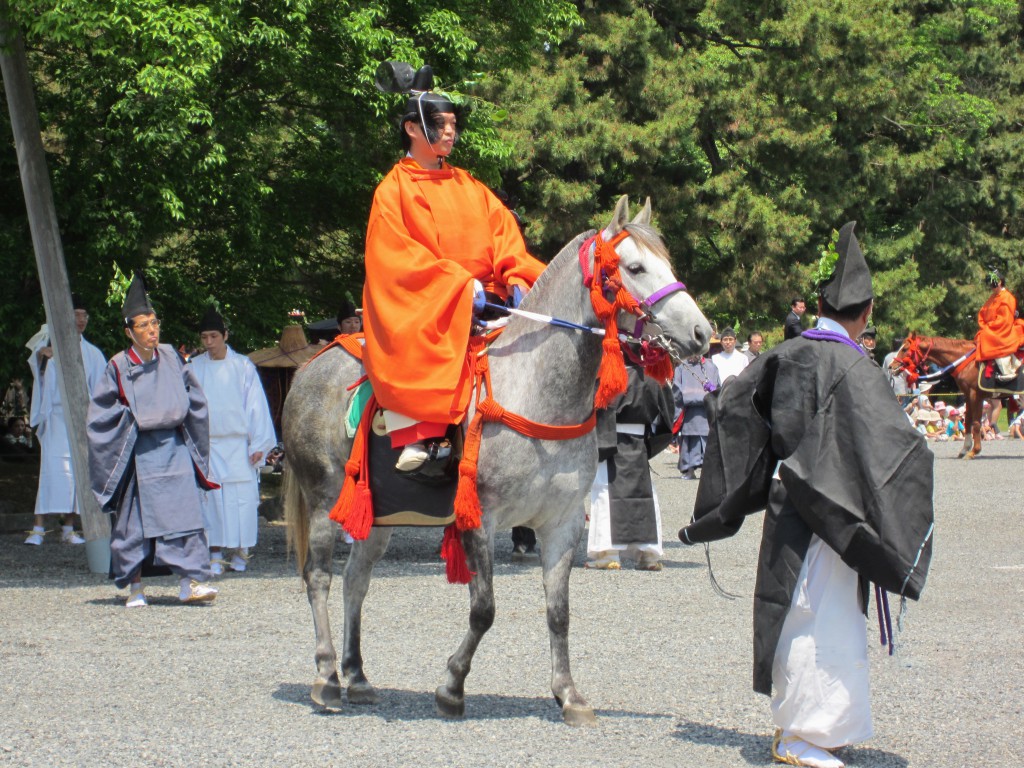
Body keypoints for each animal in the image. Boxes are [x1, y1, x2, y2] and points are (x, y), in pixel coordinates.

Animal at [282, 195, 712, 724]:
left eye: (667, 264)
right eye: (634, 268)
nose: (702, 333)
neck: (537, 393)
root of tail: (310, 368)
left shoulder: (562, 522)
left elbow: (558, 612)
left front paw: (569, 694)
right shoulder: (480, 518)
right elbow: (484, 609)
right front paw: (451, 687)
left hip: (378, 515)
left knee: (354, 581)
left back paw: (357, 676)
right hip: (324, 499)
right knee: (319, 578)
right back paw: (326, 676)